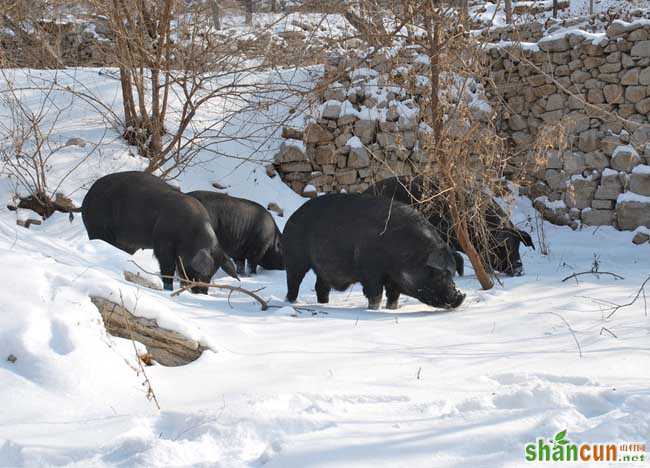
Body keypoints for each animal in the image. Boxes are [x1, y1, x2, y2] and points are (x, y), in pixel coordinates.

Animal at [81, 170, 238, 294]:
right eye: (203, 273)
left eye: (213, 273)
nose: (202, 292)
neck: (190, 234)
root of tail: (87, 197)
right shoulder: (163, 244)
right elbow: (167, 268)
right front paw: (169, 290)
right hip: (98, 228)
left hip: (125, 243)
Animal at [280, 192, 464, 308]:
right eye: (438, 274)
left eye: (451, 273)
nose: (459, 296)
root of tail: (292, 217)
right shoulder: (370, 271)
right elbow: (375, 294)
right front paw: (373, 310)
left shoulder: (393, 280)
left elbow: (393, 297)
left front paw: (391, 309)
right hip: (295, 258)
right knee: (293, 282)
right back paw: (291, 303)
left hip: (322, 268)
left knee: (321, 286)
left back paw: (324, 304)